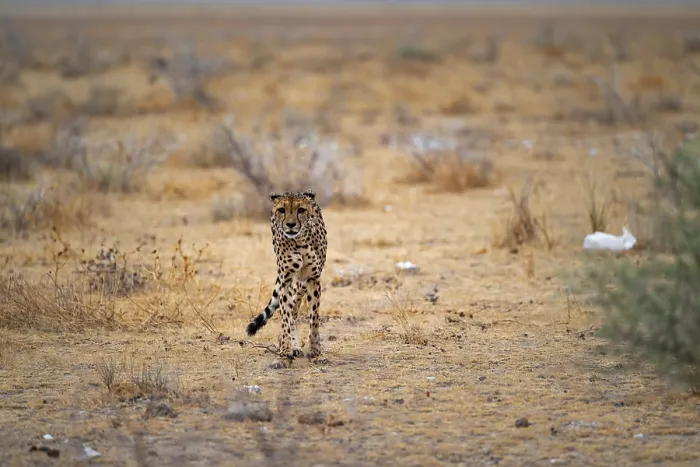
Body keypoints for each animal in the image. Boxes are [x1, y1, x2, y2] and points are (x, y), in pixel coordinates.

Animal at [245, 190, 328, 368]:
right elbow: (285, 317)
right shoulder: (286, 279)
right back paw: (292, 346)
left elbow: (314, 319)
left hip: (302, 282)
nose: (290, 225)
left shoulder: (313, 278)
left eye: (301, 210)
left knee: (296, 305)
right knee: (291, 309)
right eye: (282, 210)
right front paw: (284, 354)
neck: (300, 241)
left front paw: (315, 353)